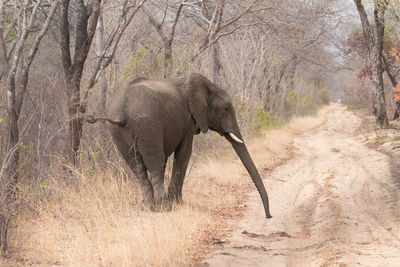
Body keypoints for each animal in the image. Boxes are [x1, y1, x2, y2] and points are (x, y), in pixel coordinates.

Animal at [86, 73, 272, 218]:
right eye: (226, 109)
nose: (269, 216)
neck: (205, 84)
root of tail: (122, 112)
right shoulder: (189, 120)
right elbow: (184, 154)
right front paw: (179, 203)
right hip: (147, 125)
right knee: (154, 163)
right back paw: (163, 207)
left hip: (119, 132)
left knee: (137, 167)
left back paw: (148, 206)